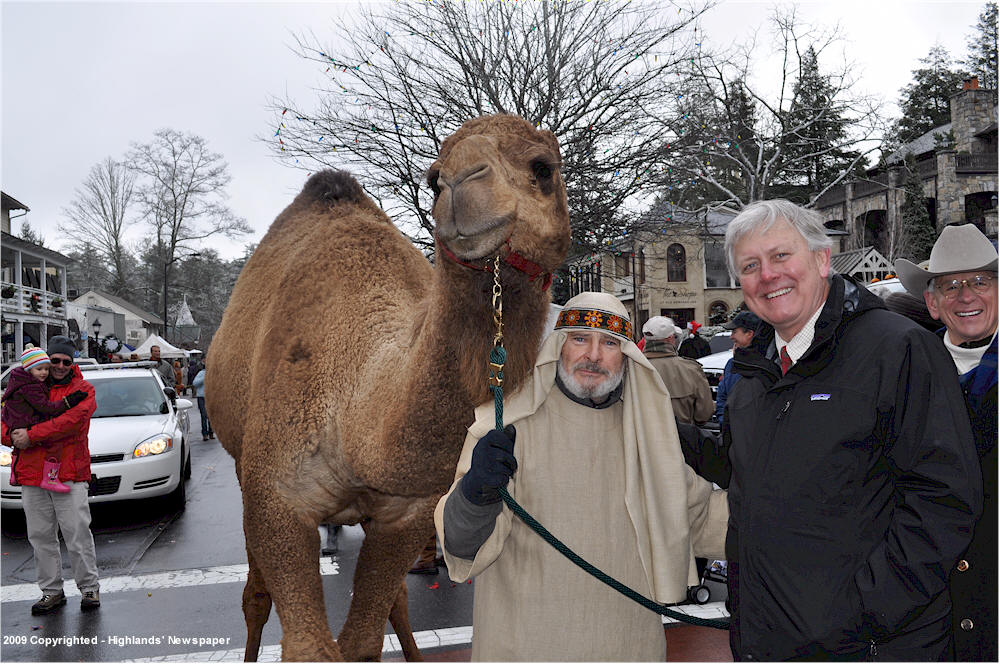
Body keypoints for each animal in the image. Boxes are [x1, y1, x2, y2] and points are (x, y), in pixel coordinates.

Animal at [207, 114, 572, 660]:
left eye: (543, 167)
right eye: (434, 179)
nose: (462, 185)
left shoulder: (407, 511)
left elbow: (362, 639)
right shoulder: (276, 499)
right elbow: (309, 645)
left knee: (395, 597)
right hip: (238, 458)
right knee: (255, 594)